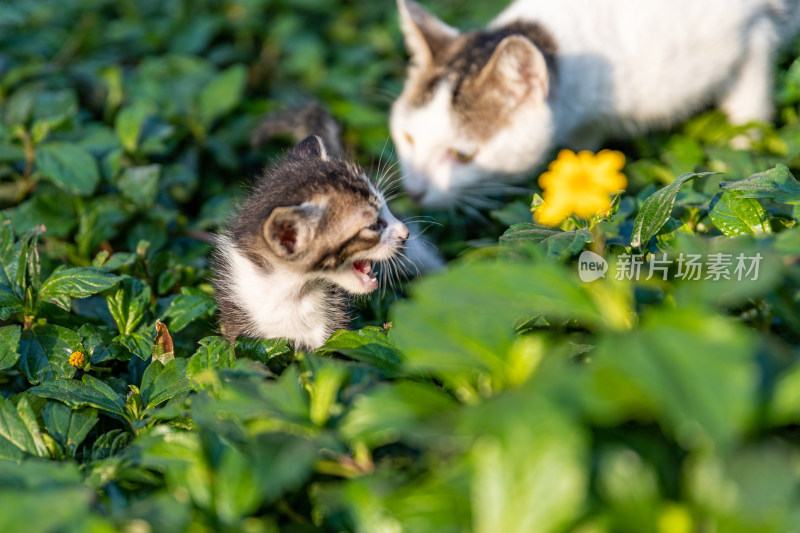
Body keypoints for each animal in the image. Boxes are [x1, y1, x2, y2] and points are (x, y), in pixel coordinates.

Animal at [392, 0, 800, 206]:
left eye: (462, 155)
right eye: (408, 139)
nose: (414, 193)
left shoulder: (755, 32)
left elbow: (749, 112)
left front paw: (744, 158)